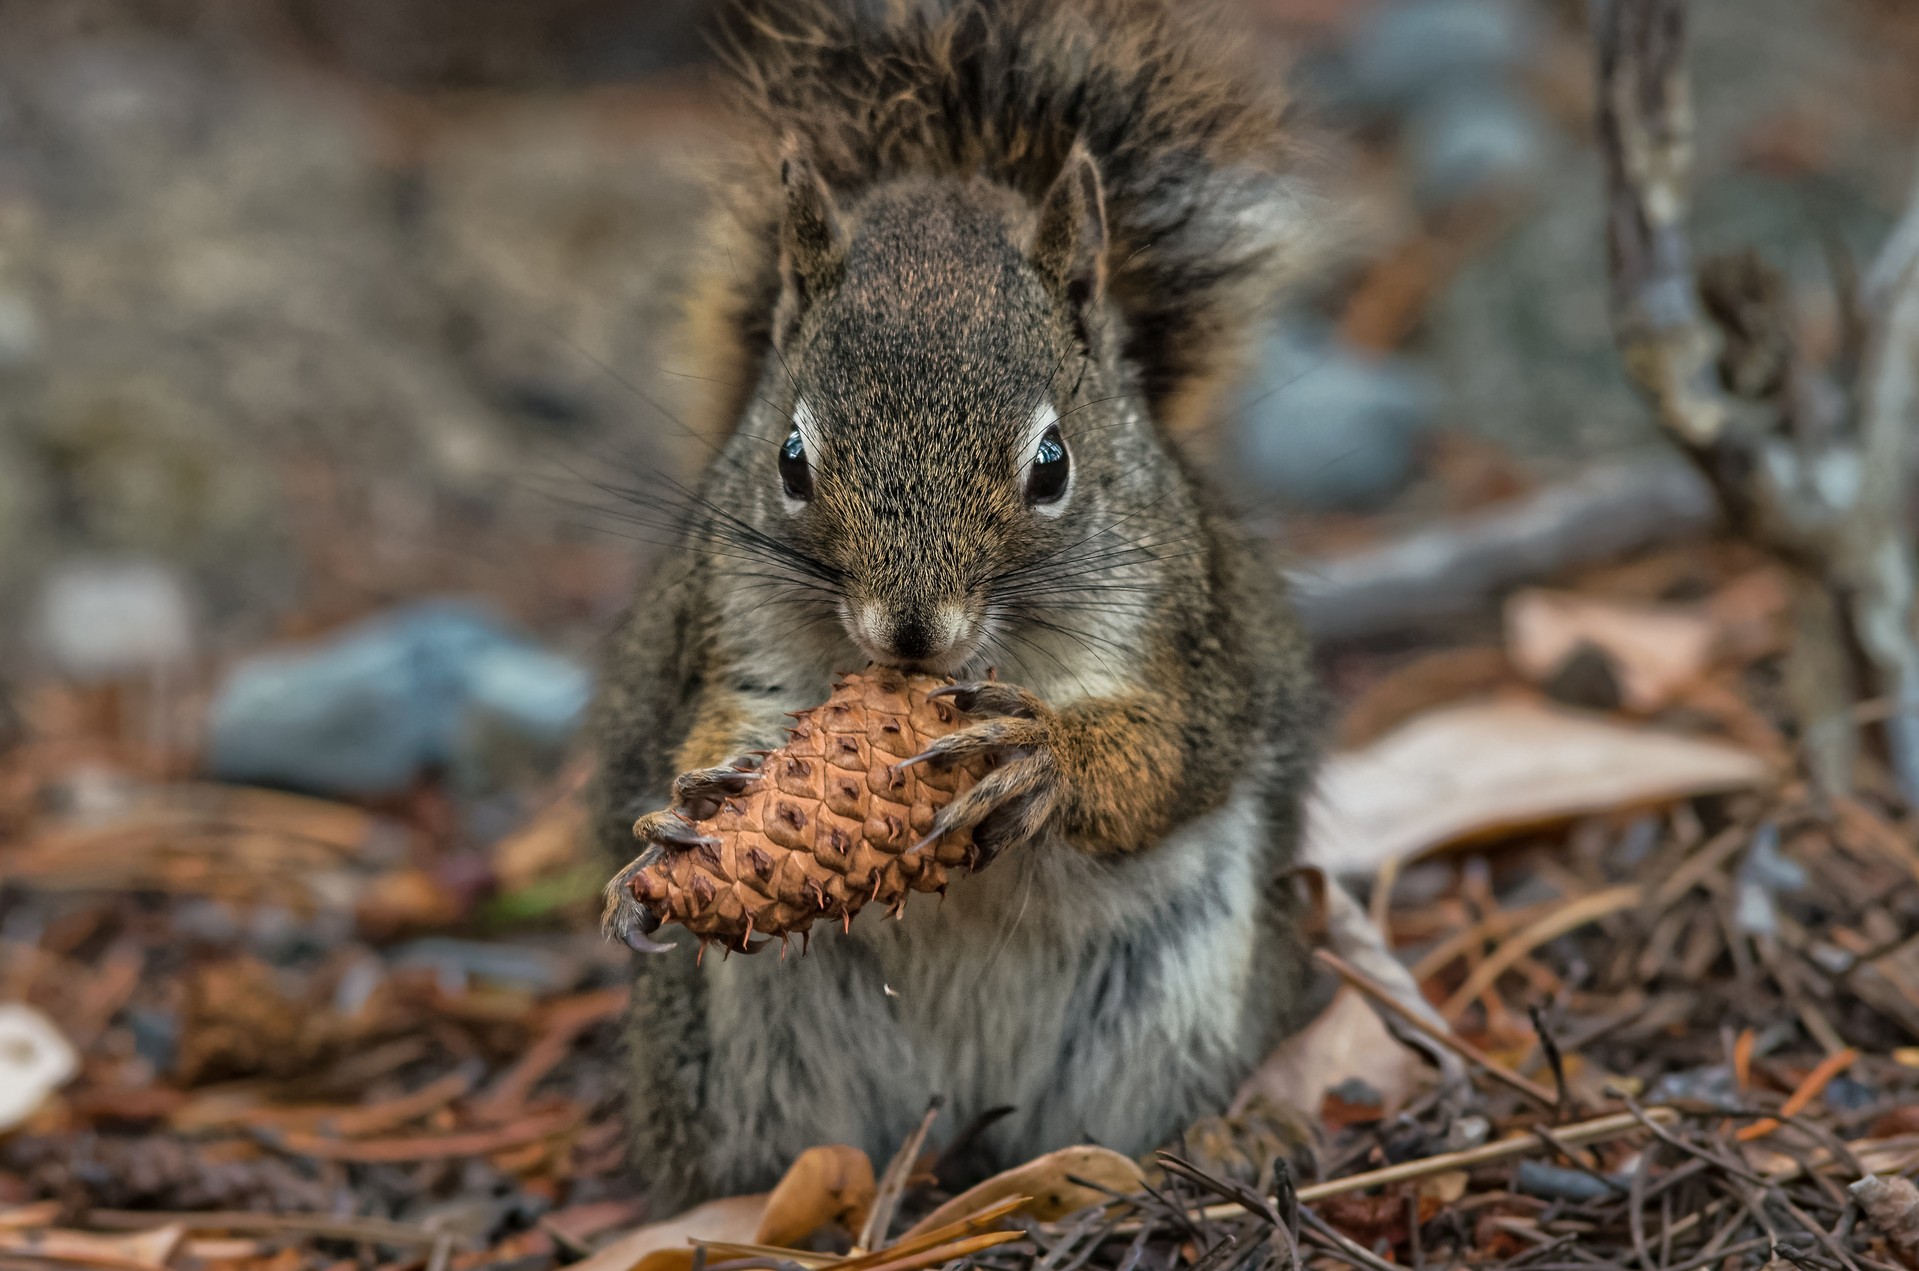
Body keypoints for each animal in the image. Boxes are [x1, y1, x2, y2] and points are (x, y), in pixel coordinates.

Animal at [598, 0, 1335, 1221]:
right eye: (790, 459)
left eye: (1052, 463)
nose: (909, 634)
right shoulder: (731, 623)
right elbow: (727, 707)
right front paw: (690, 799)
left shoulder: (1186, 632)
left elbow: (1169, 752)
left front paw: (1042, 759)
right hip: (737, 1058)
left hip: (1179, 1001)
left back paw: (1212, 1141)